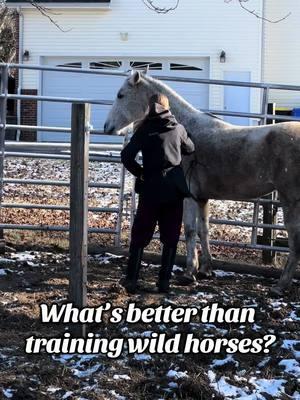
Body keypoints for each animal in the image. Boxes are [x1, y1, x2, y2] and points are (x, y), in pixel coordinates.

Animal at [104, 70, 300, 296]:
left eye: (121, 95)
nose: (107, 127)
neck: (185, 130)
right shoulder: (202, 199)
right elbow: (203, 230)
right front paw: (206, 269)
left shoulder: (188, 197)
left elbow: (189, 231)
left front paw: (189, 273)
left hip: (290, 201)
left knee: (295, 240)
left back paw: (280, 285)